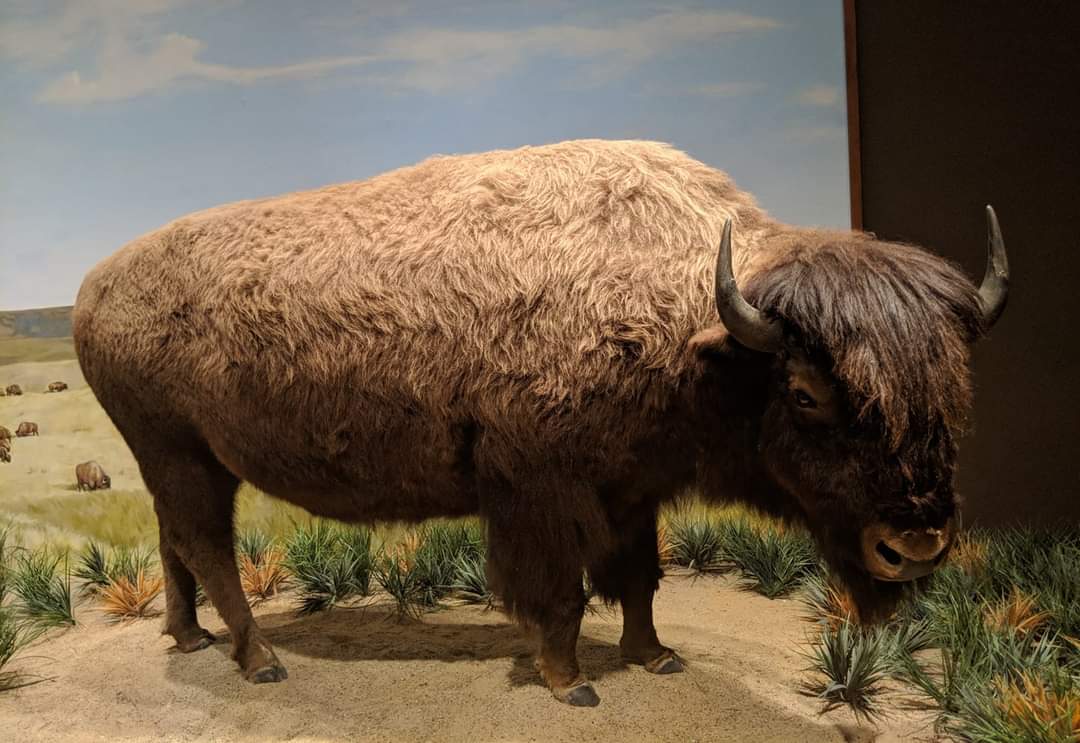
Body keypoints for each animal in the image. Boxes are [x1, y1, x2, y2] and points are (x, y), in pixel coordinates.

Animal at [73, 140, 1008, 704]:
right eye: (807, 392)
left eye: (954, 385)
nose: (914, 543)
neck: (697, 316)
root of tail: (92, 287)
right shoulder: (541, 492)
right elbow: (561, 591)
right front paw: (571, 681)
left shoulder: (633, 487)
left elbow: (638, 575)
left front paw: (654, 654)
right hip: (181, 455)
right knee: (209, 549)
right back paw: (260, 659)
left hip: (182, 461)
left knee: (174, 544)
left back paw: (190, 639)